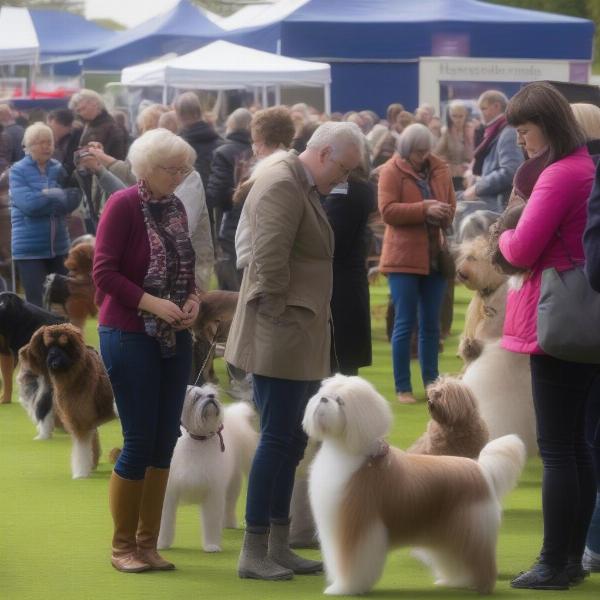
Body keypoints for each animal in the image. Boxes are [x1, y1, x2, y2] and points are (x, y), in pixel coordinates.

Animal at [20, 324, 115, 478]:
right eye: (48, 345)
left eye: (64, 345)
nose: (53, 358)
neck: (78, 373)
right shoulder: (87, 423)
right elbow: (92, 446)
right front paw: (91, 466)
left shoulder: (80, 421)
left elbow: (81, 451)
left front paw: (80, 473)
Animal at [157, 384, 258, 552]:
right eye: (197, 397)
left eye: (212, 394)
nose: (211, 397)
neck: (198, 439)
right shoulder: (169, 493)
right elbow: (165, 521)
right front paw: (161, 544)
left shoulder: (213, 492)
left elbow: (211, 520)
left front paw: (212, 546)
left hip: (232, 484)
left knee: (229, 505)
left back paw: (229, 524)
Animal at [304, 376, 524, 596]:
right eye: (326, 393)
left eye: (340, 401)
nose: (323, 399)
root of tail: (480, 468)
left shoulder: (357, 524)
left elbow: (352, 561)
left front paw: (343, 588)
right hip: (449, 532)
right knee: (455, 559)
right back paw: (455, 581)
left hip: (471, 528)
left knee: (481, 560)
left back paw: (482, 587)